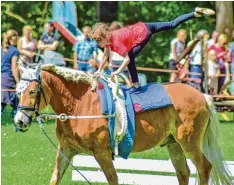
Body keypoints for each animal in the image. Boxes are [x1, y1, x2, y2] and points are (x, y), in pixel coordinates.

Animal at [14, 64, 232, 185]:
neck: (80, 105)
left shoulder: (102, 153)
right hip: (174, 145)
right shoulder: (66, 150)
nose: (19, 121)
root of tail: (202, 95)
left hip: (189, 143)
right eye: (17, 91)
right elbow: (55, 178)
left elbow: (113, 178)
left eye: (32, 91)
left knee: (204, 168)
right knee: (183, 172)